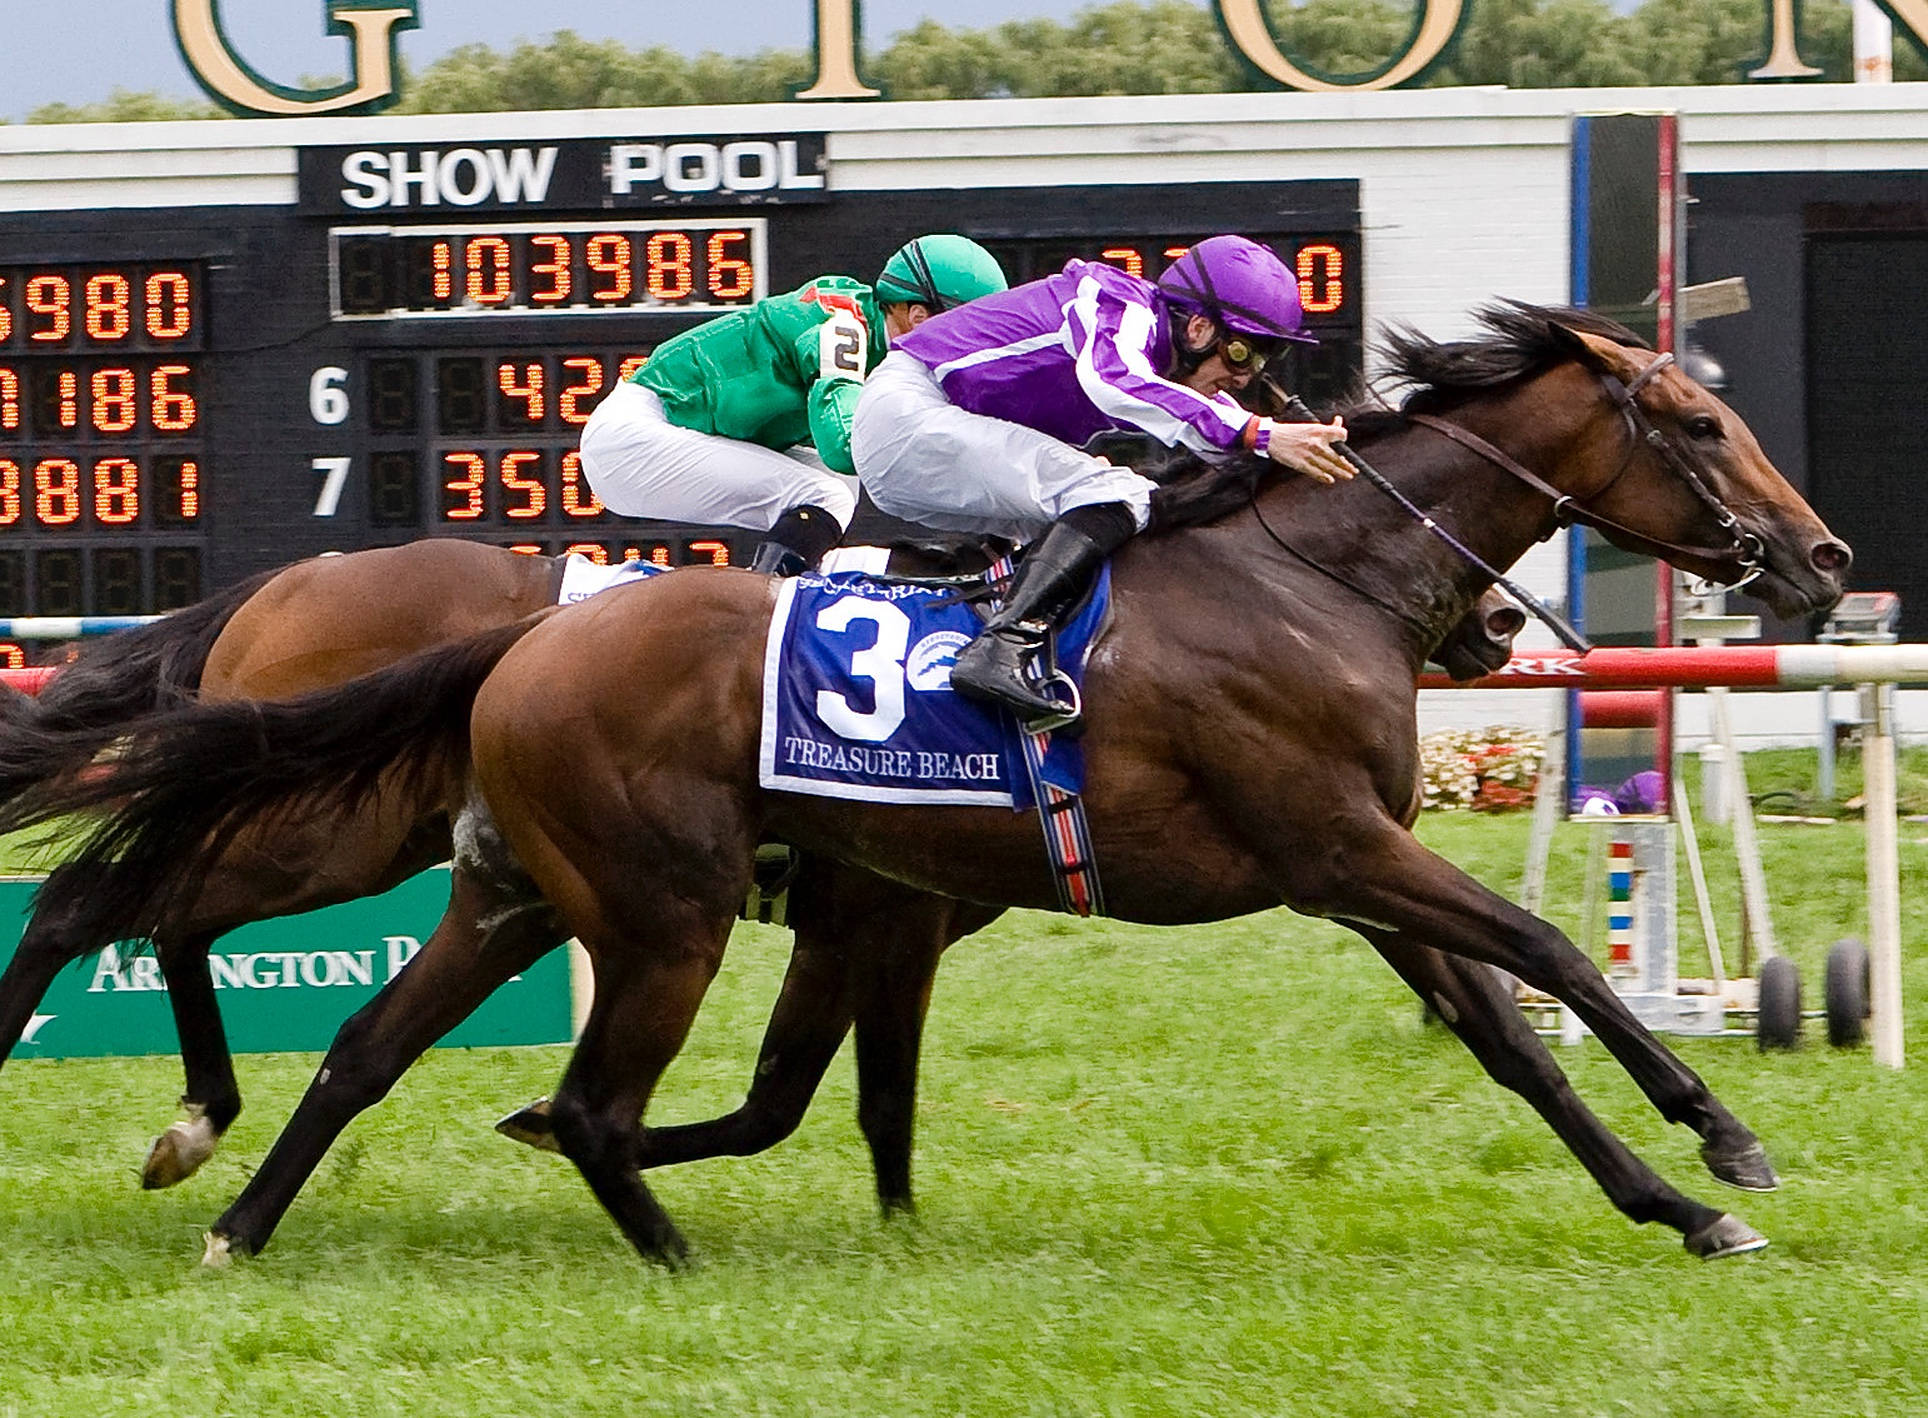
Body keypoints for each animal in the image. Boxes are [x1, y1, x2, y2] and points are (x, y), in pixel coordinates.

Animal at [6, 303, 1846, 1267]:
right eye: (1695, 423)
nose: (1819, 556)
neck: (1299, 576)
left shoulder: (1318, 867)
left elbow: (1506, 1034)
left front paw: (1678, 1202)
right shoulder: (1327, 845)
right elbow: (1544, 958)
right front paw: (1726, 1137)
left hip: (505, 884)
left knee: (350, 1036)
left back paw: (240, 1212)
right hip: (576, 887)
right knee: (134, 901)